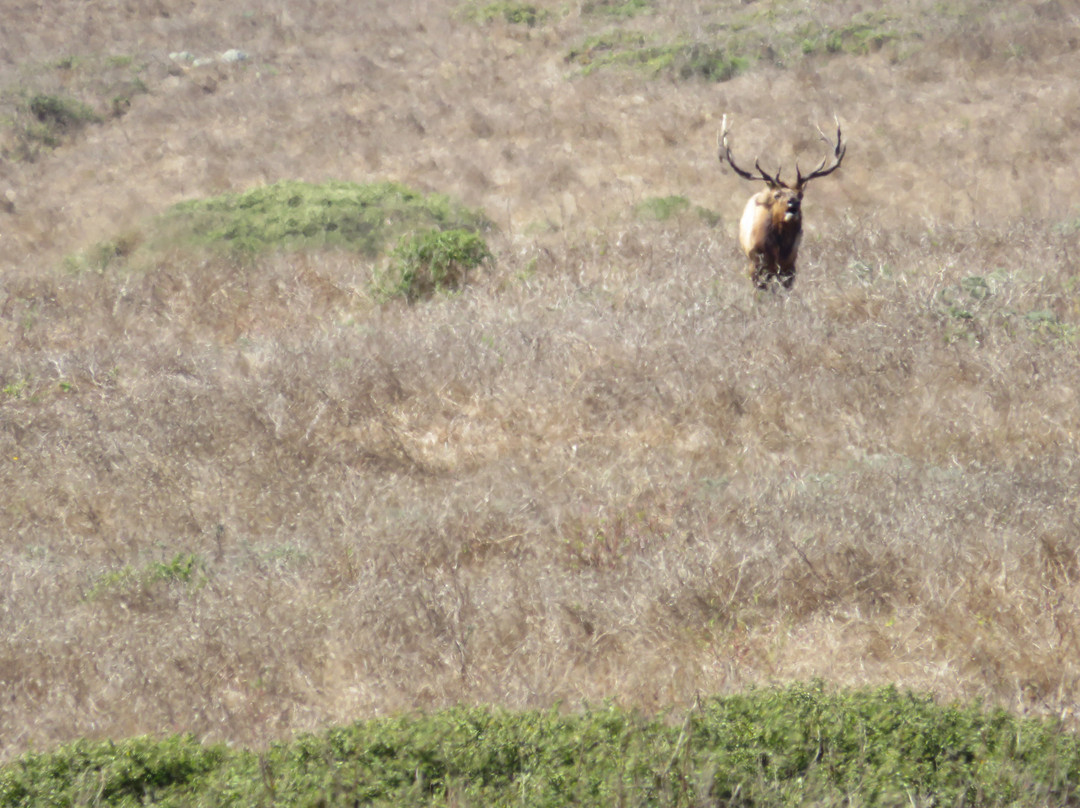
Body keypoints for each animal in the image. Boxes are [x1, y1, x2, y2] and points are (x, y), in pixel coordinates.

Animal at [718, 115, 846, 290]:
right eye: (777, 195)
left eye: (800, 195)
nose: (793, 204)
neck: (777, 248)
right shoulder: (755, 265)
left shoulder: (789, 266)